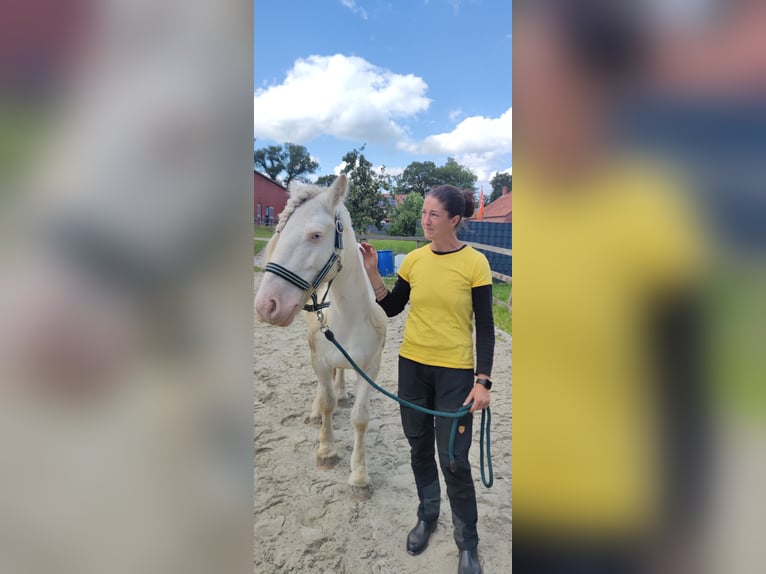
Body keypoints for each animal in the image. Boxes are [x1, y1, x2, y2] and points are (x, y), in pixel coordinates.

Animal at [255, 176, 388, 500]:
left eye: (316, 235)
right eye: (280, 231)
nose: (266, 305)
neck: (350, 314)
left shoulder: (370, 368)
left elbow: (360, 418)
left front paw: (359, 477)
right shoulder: (321, 358)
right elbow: (327, 402)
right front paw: (326, 452)